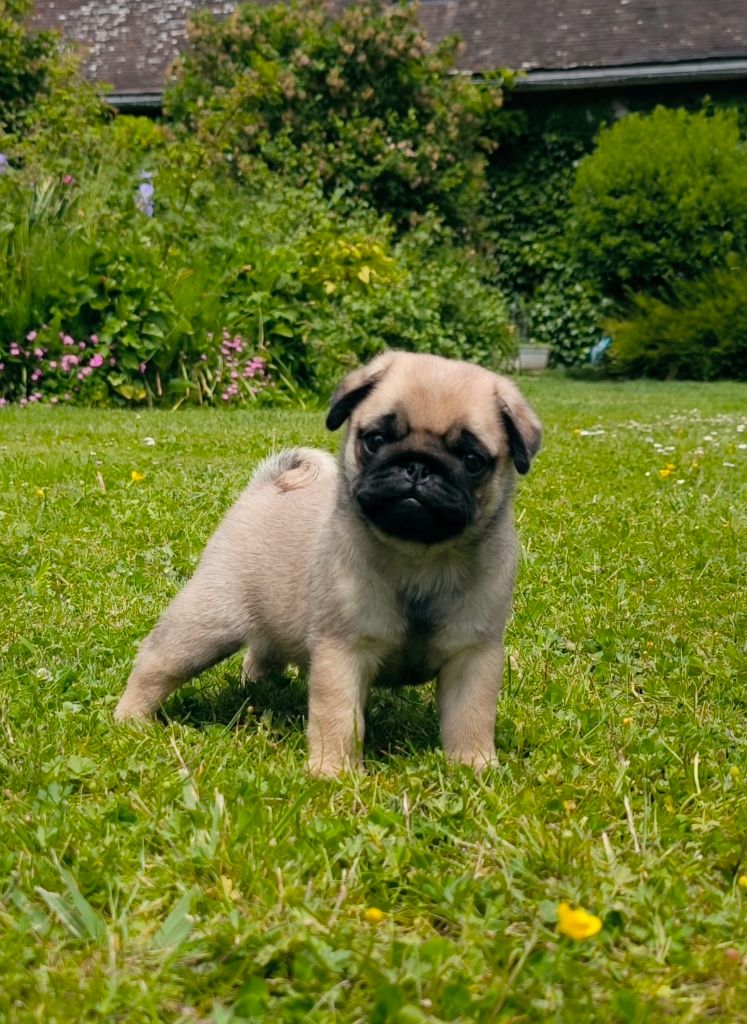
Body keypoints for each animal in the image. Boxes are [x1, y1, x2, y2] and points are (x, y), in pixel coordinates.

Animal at [115, 351, 541, 775]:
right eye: (375, 440)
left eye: (472, 460)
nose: (417, 466)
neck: (418, 557)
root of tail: (265, 486)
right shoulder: (343, 653)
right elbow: (339, 718)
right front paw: (334, 773)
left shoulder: (473, 656)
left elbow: (470, 718)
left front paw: (473, 767)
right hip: (208, 623)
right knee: (156, 662)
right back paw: (131, 718)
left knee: (262, 650)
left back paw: (259, 687)